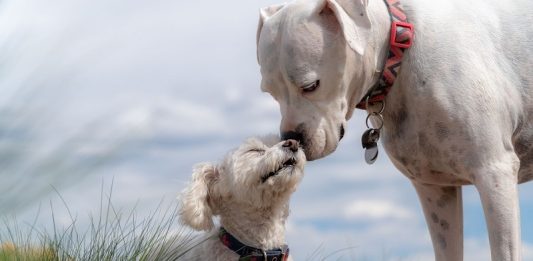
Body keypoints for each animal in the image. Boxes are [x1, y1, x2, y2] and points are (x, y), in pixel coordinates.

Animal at [256, 0, 532, 258]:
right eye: (270, 93)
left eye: (311, 86)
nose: (292, 139)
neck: (400, 50)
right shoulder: (435, 190)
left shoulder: (494, 174)